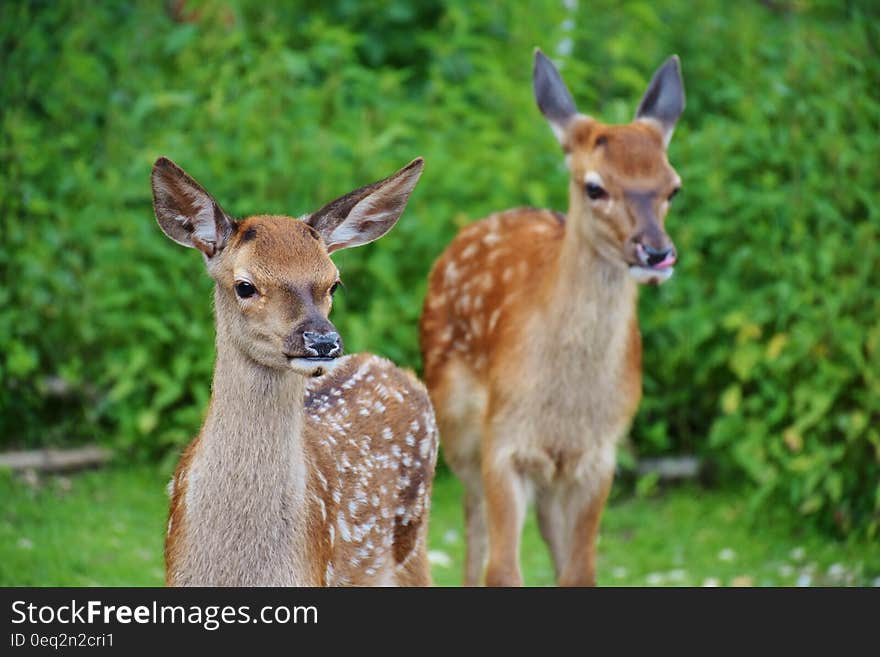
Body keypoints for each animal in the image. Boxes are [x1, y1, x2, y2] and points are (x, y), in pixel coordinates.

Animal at [422, 51, 688, 584]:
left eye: (673, 187)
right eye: (595, 187)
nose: (656, 253)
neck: (564, 406)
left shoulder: (599, 455)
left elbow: (580, 569)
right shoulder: (504, 441)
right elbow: (502, 569)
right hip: (457, 423)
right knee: (472, 522)